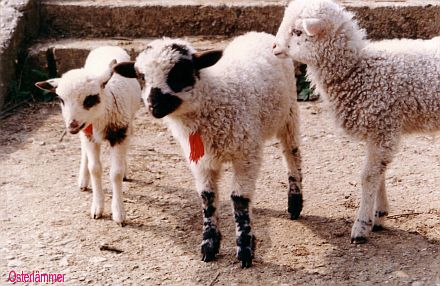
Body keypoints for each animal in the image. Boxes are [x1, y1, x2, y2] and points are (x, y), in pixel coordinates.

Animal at [35, 46, 141, 226]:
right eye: (61, 100)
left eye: (90, 99)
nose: (71, 126)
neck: (100, 118)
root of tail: (107, 46)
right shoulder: (89, 136)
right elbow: (95, 169)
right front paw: (97, 208)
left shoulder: (120, 132)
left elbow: (116, 173)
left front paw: (118, 213)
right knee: (85, 153)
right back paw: (83, 181)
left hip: (129, 119)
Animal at [113, 32, 302, 268]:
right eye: (141, 76)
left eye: (180, 72)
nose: (154, 106)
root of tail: (257, 34)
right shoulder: (201, 161)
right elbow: (208, 198)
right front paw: (209, 245)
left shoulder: (247, 154)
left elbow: (239, 200)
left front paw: (245, 248)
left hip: (289, 115)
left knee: (292, 156)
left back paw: (295, 203)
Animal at [274, 0, 440, 244]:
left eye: (297, 32)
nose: (274, 47)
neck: (359, 69)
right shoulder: (379, 131)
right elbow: (379, 174)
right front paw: (379, 215)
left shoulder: (383, 126)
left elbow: (368, 176)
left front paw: (361, 227)